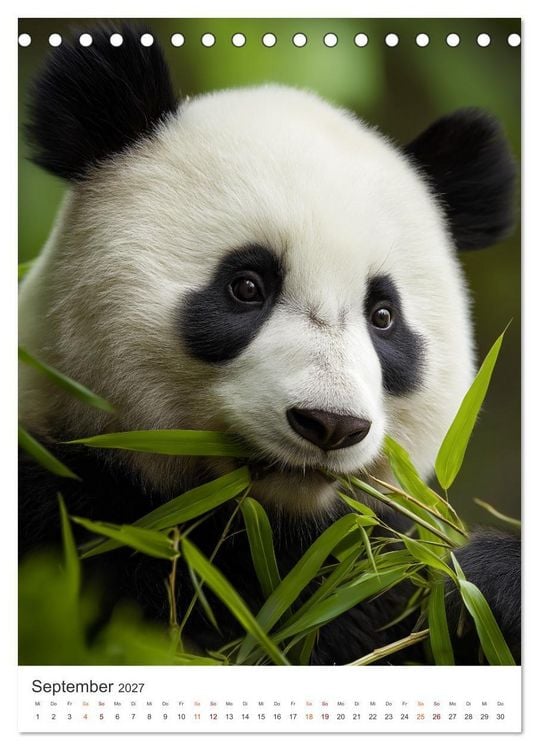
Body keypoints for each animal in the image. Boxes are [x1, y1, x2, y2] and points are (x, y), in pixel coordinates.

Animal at [19, 26, 520, 665]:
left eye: (383, 317)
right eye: (247, 286)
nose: (330, 424)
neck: (264, 525)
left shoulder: (365, 554)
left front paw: (485, 585)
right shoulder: (70, 505)